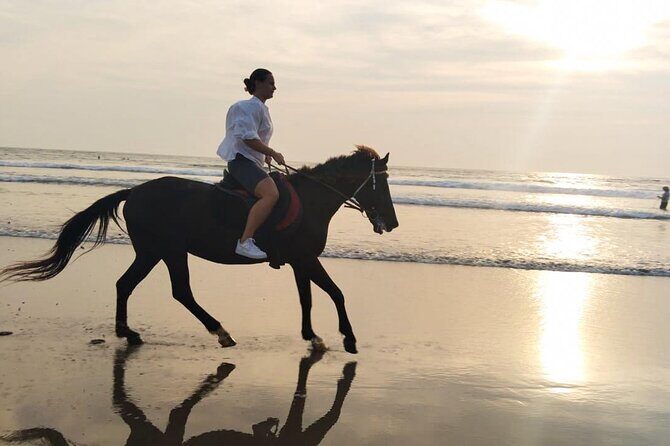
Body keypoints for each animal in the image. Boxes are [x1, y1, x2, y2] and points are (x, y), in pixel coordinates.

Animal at [0, 146, 398, 354]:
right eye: (380, 185)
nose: (392, 223)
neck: (313, 200)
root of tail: (134, 192)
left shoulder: (301, 261)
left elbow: (308, 299)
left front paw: (313, 337)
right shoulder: (306, 259)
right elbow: (336, 292)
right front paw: (349, 338)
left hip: (151, 252)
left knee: (125, 285)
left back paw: (128, 332)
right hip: (169, 250)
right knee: (181, 291)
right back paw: (220, 332)